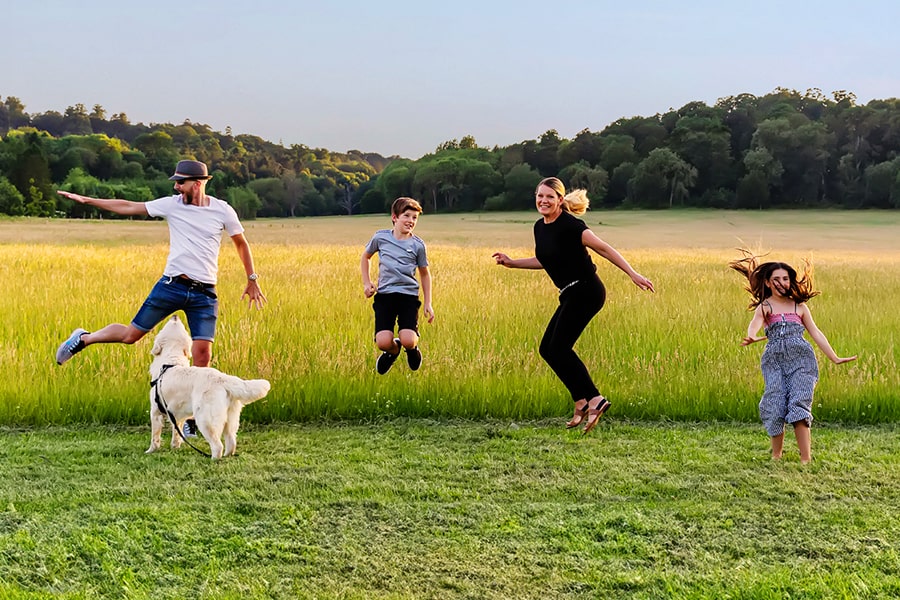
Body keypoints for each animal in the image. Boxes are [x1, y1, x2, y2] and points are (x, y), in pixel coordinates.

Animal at [144, 314, 268, 460]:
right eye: (181, 326)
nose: (175, 316)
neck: (171, 360)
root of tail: (222, 378)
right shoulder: (177, 415)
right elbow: (177, 433)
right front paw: (175, 447)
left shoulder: (155, 411)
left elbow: (155, 436)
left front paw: (150, 451)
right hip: (230, 419)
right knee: (231, 442)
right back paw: (227, 455)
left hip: (204, 419)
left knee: (218, 445)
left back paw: (213, 459)